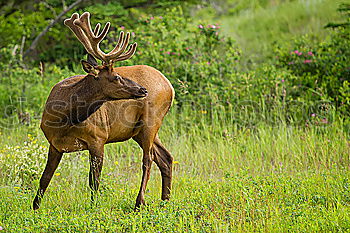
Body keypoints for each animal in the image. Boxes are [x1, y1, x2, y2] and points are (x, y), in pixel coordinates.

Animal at [32, 11, 175, 210]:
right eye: (116, 77)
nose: (142, 90)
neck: (64, 120)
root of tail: (170, 86)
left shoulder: (98, 138)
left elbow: (94, 181)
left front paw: (93, 207)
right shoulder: (54, 144)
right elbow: (44, 179)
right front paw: (35, 207)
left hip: (151, 120)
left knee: (148, 159)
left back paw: (140, 202)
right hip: (138, 131)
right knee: (165, 157)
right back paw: (165, 201)